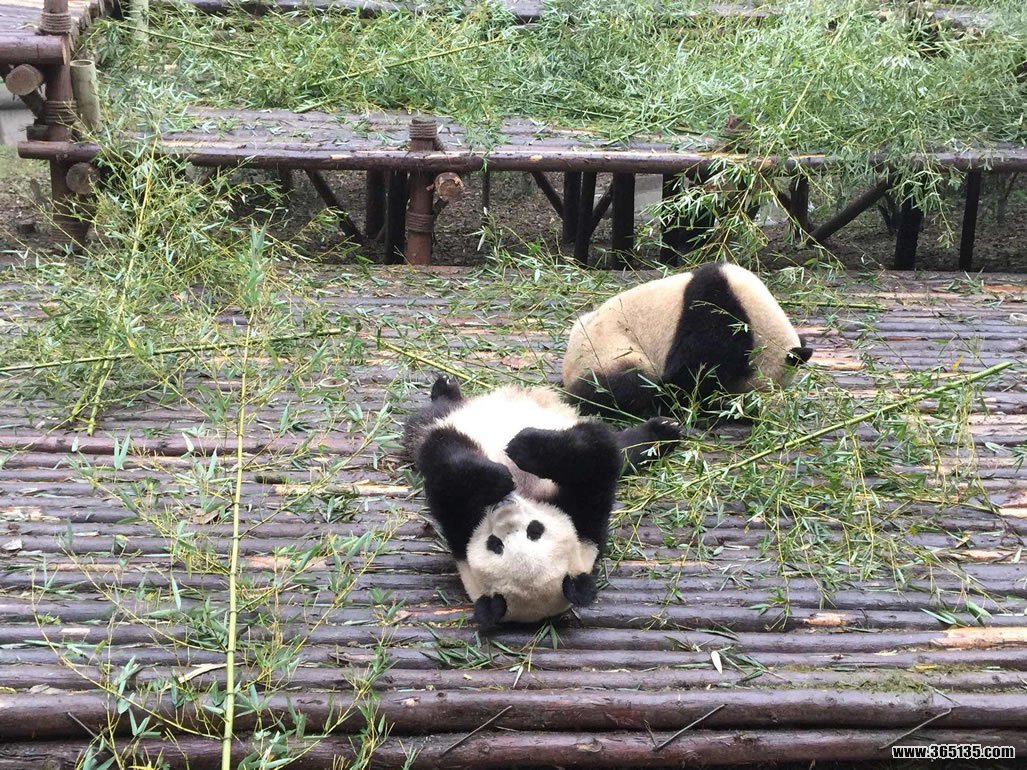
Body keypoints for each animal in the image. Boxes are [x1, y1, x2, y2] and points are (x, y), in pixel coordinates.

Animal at [403, 376, 680, 629]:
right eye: (495, 544)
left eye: (535, 531)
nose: (503, 507)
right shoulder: (458, 525)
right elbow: (448, 470)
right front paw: (497, 477)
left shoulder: (585, 519)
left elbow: (595, 458)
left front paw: (526, 447)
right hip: (437, 424)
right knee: (428, 422)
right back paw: (445, 389)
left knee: (619, 446)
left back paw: (664, 430)